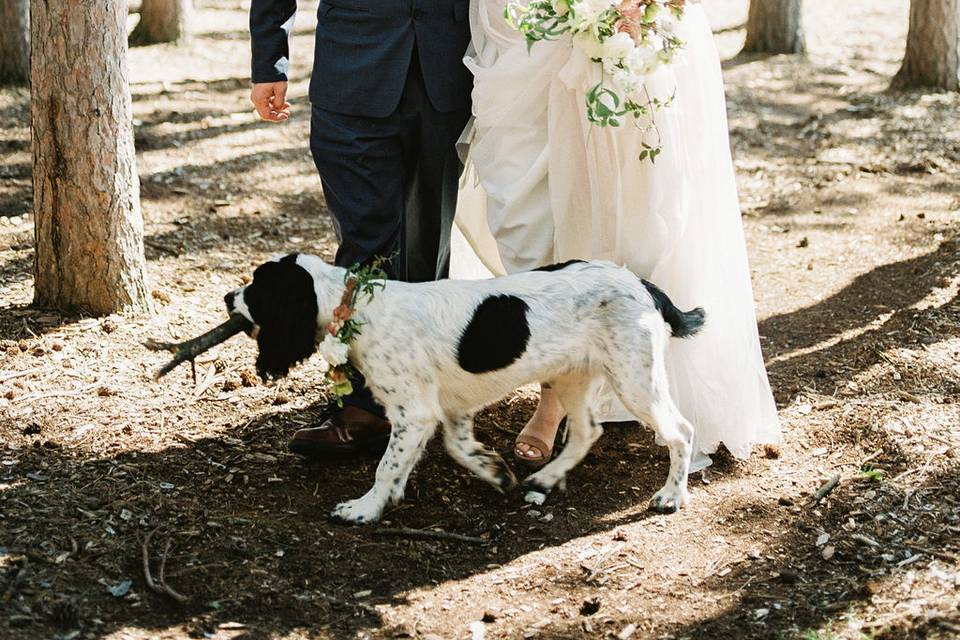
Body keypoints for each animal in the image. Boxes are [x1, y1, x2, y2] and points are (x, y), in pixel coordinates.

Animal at [225, 252, 704, 524]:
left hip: (634, 378)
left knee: (681, 431)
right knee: (587, 432)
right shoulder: (452, 407)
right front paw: (494, 470)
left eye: (258, 287)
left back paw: (670, 496)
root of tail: (642, 284)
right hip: (572, 375)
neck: (357, 303)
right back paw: (545, 478)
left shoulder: (413, 413)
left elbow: (386, 467)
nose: (228, 298)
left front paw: (365, 509)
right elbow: (457, 448)